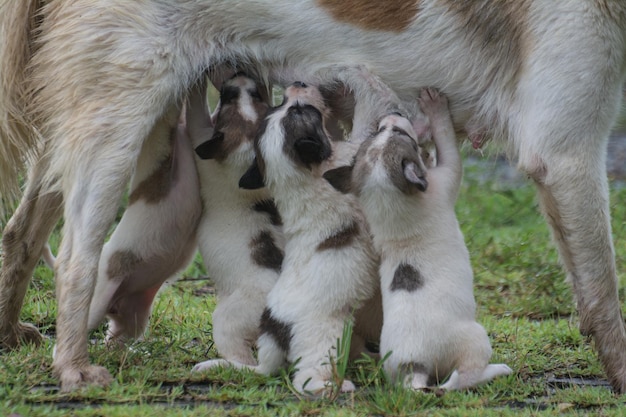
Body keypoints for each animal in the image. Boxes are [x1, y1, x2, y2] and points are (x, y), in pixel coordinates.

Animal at [186, 74, 282, 368]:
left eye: (228, 100)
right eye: (258, 96)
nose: (240, 77)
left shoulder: (202, 141)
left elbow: (197, 114)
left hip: (227, 320)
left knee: (244, 360)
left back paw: (214, 366)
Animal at [324, 88, 510, 390]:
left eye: (383, 131)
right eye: (402, 135)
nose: (393, 115)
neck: (390, 207)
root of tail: (414, 367)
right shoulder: (446, 177)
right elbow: (446, 141)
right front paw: (435, 107)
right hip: (475, 340)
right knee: (462, 379)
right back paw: (496, 371)